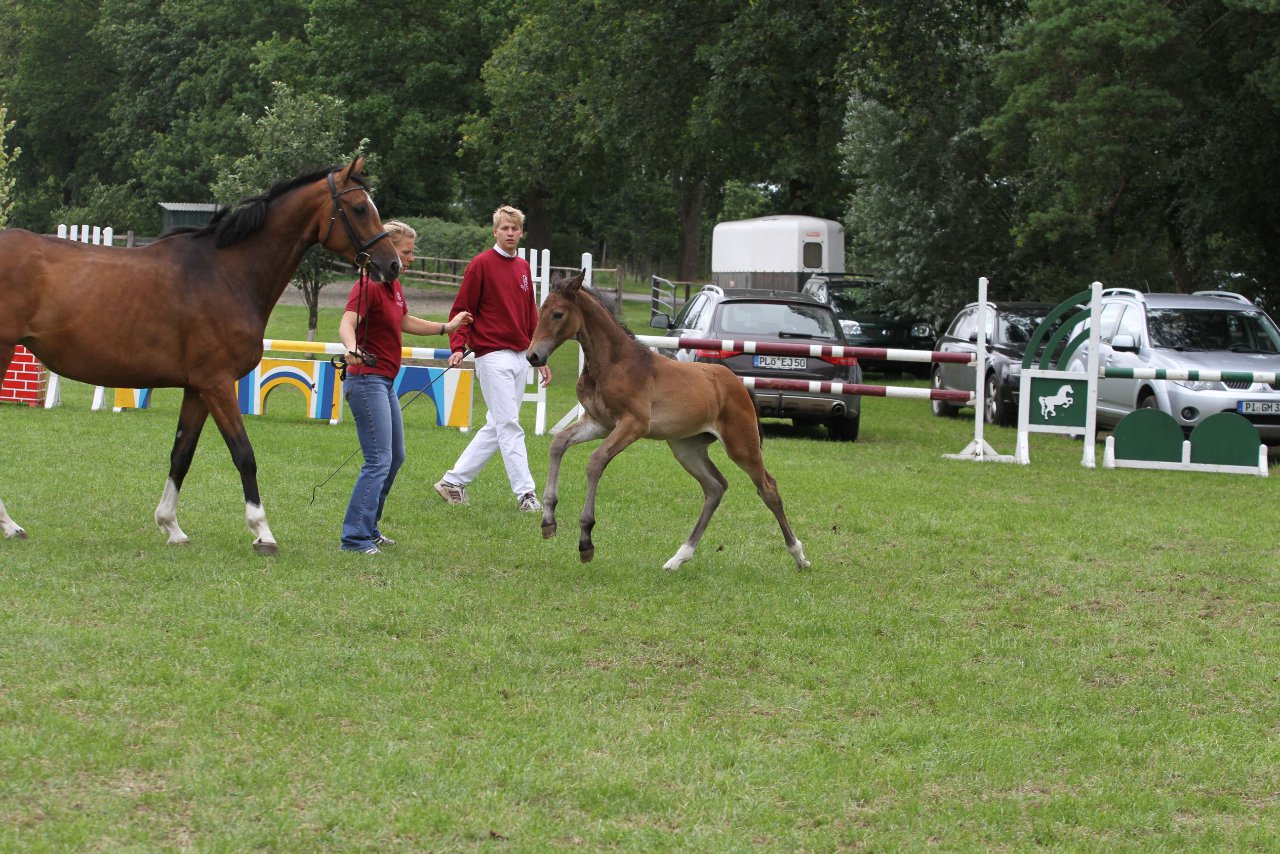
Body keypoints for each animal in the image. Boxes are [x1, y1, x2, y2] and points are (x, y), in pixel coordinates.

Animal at [0, 155, 399, 555]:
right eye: (360, 208)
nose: (393, 264)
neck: (226, 274)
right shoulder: (218, 384)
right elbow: (244, 454)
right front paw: (263, 532)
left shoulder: (197, 389)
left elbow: (182, 454)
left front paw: (171, 526)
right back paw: (11, 525)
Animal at [522, 270, 803, 571]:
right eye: (541, 310)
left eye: (558, 314)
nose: (533, 356)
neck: (613, 363)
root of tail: (737, 383)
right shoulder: (599, 423)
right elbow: (558, 443)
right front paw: (548, 521)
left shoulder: (633, 424)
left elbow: (595, 461)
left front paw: (586, 541)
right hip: (686, 448)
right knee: (715, 487)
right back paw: (679, 557)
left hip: (742, 446)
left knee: (768, 488)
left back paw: (799, 555)